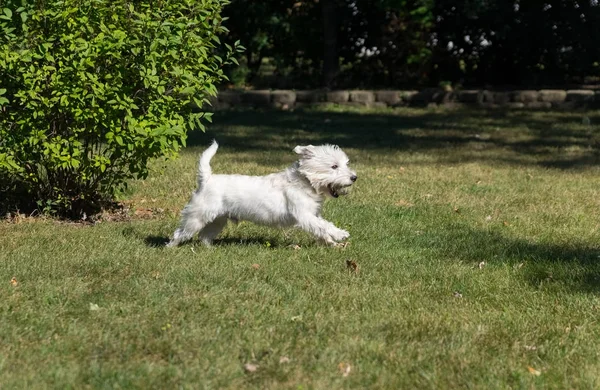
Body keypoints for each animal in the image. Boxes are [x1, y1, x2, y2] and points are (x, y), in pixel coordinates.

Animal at [166, 142, 356, 247]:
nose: (354, 177)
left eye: (345, 164)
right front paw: (340, 234)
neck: (304, 181)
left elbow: (321, 227)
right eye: (334, 166)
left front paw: (331, 243)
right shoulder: (304, 215)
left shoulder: (313, 215)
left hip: (217, 219)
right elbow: (324, 225)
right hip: (196, 217)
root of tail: (207, 179)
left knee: (204, 236)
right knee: (180, 233)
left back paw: (208, 249)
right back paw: (170, 247)